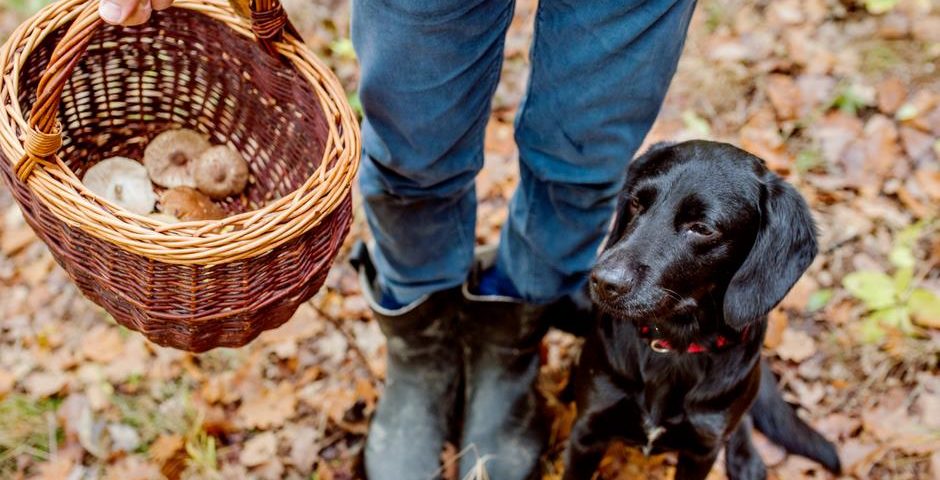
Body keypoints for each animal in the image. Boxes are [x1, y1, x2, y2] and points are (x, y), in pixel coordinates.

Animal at [560, 141, 840, 480]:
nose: (603, 282)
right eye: (637, 203)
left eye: (702, 229)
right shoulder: (587, 431)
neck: (672, 346)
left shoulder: (701, 451)